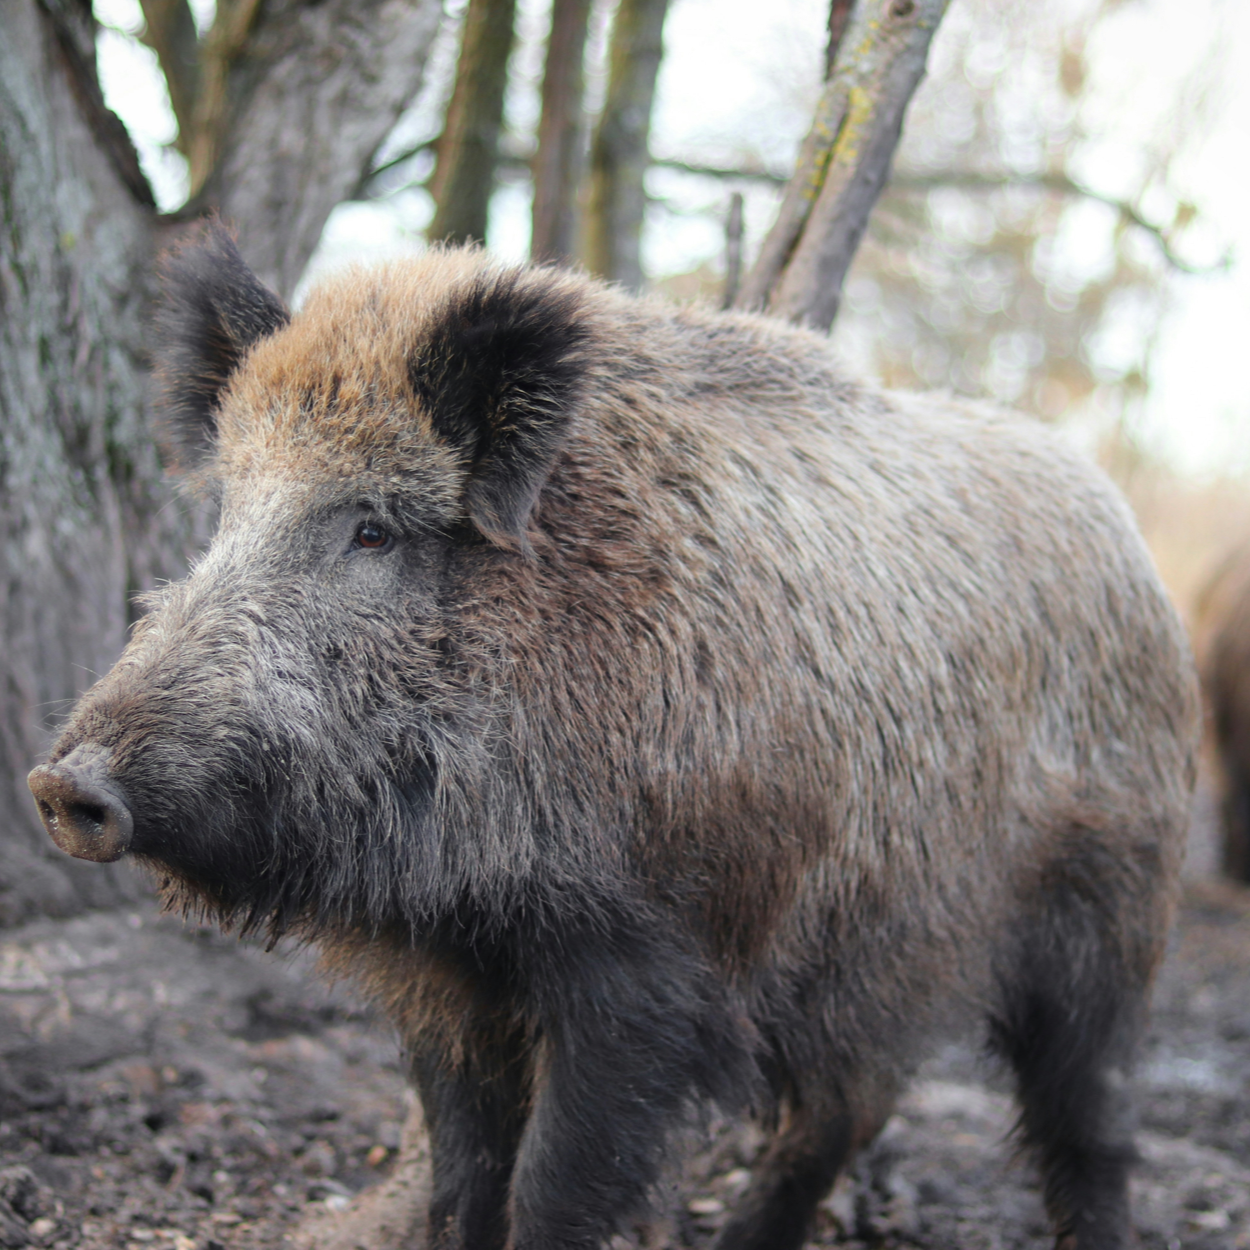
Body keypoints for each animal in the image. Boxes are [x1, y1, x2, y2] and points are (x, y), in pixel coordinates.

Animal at [29, 222, 1197, 1250]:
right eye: (228, 511)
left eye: (371, 527)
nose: (62, 783)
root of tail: (1133, 545)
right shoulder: (445, 978)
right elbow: (463, 1178)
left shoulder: (652, 962)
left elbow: (555, 1185)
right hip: (882, 944)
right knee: (844, 1108)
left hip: (1111, 910)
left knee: (1087, 1127)